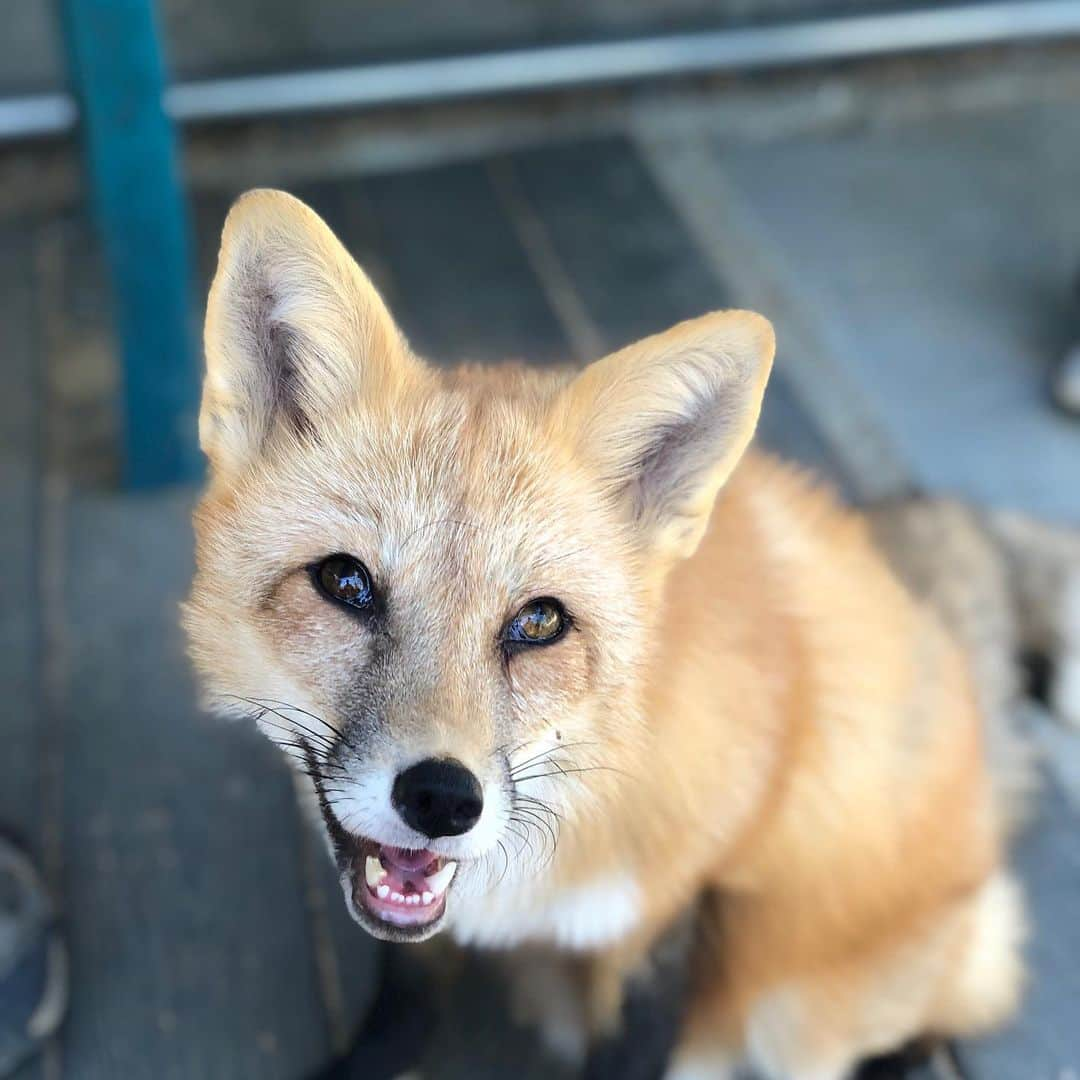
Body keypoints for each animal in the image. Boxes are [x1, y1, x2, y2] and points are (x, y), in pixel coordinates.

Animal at [181, 192, 1075, 1080]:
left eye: (539, 622)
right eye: (347, 584)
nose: (441, 800)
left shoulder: (683, 911)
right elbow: (405, 1000)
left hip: (802, 1010)